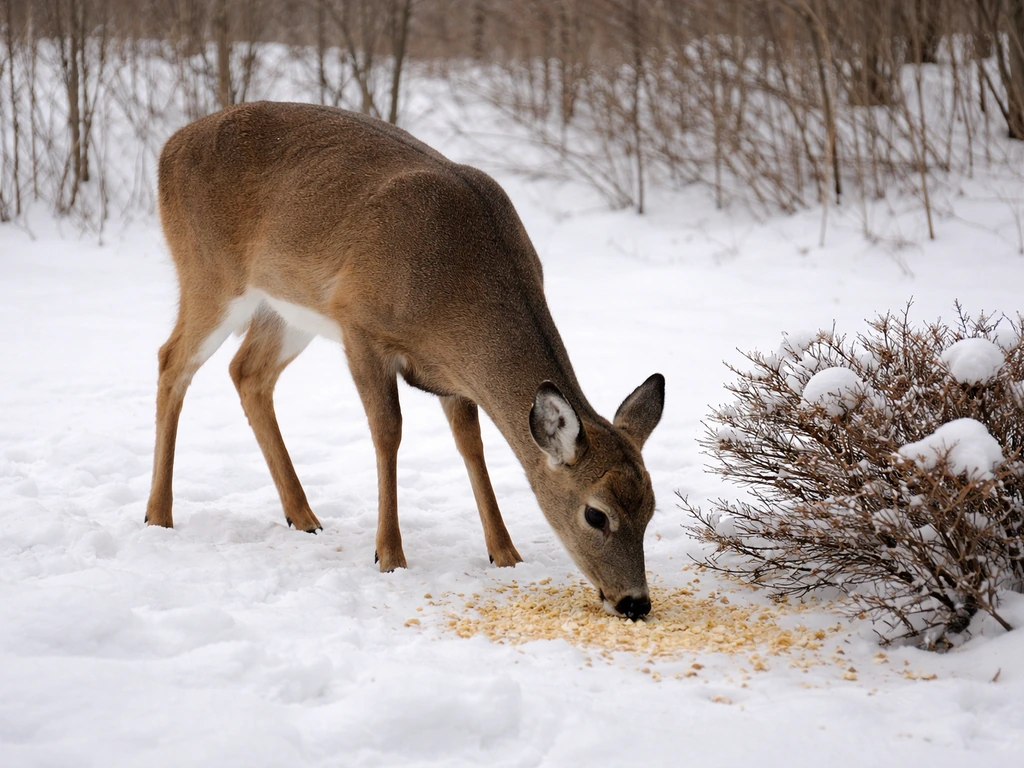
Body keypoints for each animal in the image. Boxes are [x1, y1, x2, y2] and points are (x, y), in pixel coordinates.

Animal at [146, 102, 665, 620]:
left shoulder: (451, 376)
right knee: (171, 360)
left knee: (247, 372)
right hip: (209, 273)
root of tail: (169, 147)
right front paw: (390, 555)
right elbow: (388, 431)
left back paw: (303, 516)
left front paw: (505, 554)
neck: (455, 287)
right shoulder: (359, 325)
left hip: (286, 306)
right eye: (595, 513)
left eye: (651, 508)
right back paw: (158, 514)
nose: (635, 601)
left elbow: (471, 444)